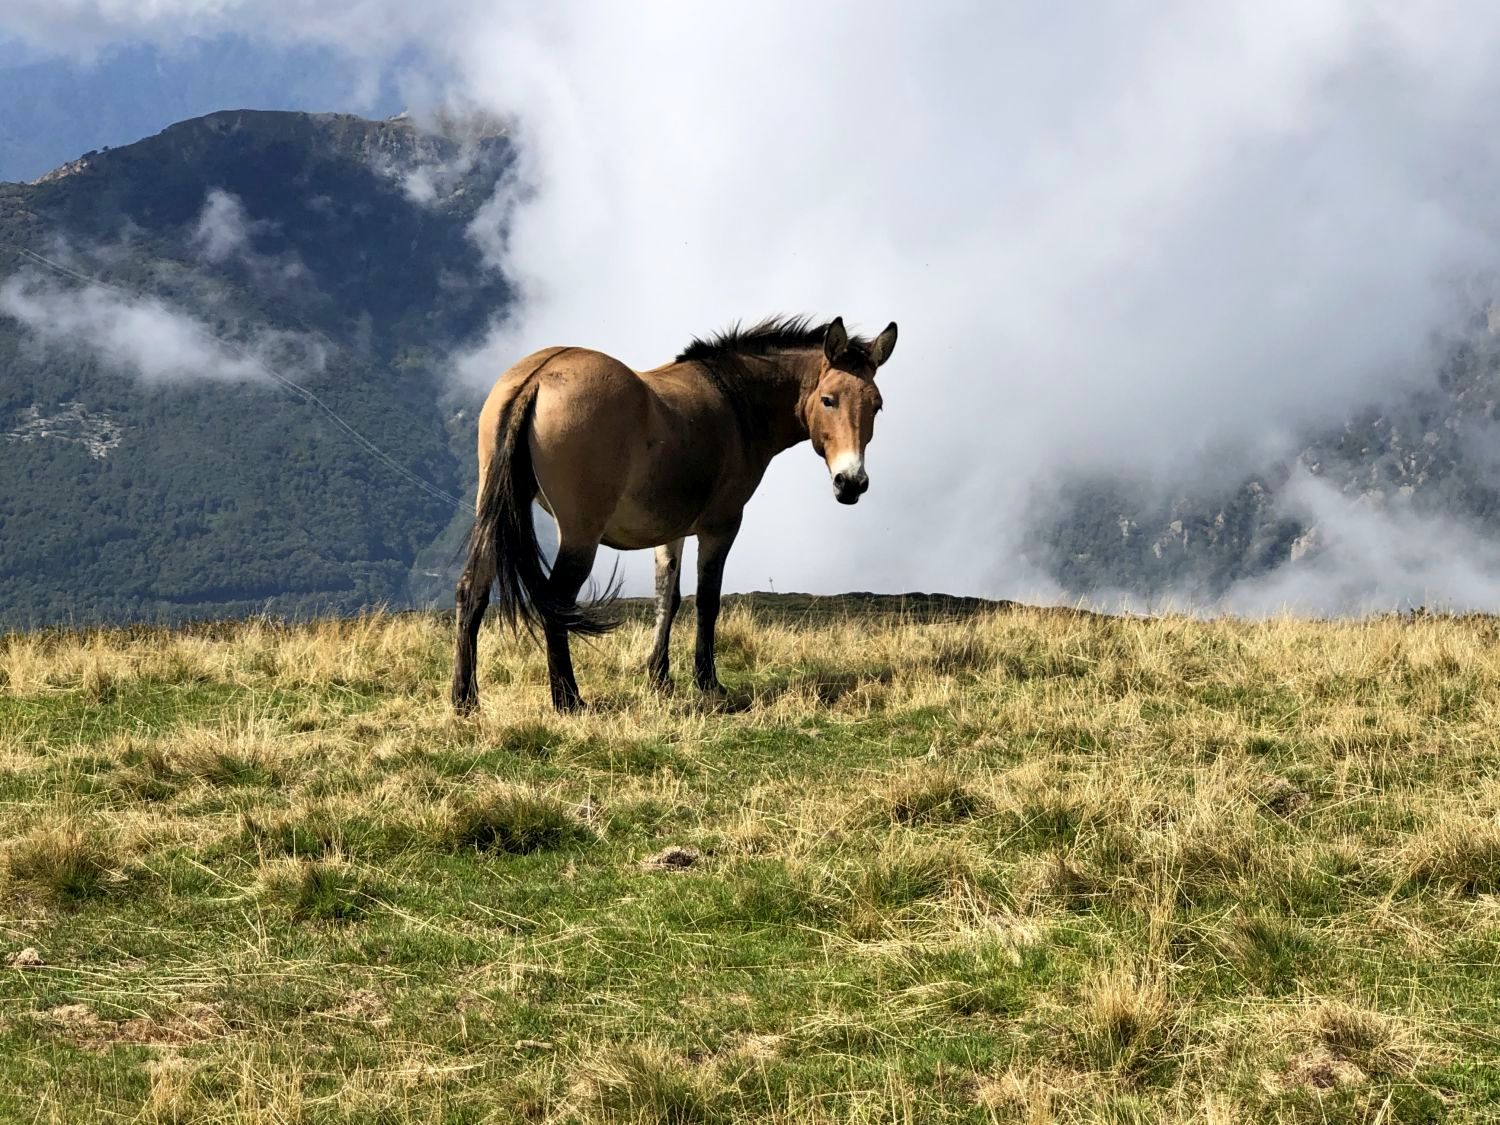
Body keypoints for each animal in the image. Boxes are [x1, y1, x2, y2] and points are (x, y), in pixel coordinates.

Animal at [453, 313, 900, 714]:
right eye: (828, 400)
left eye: (877, 406)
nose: (851, 482)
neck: (734, 401)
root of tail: (538, 377)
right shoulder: (721, 526)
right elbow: (706, 601)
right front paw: (707, 681)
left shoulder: (671, 531)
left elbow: (667, 598)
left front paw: (659, 676)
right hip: (580, 534)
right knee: (556, 601)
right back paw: (568, 700)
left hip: (495, 510)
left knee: (472, 589)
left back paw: (465, 699)